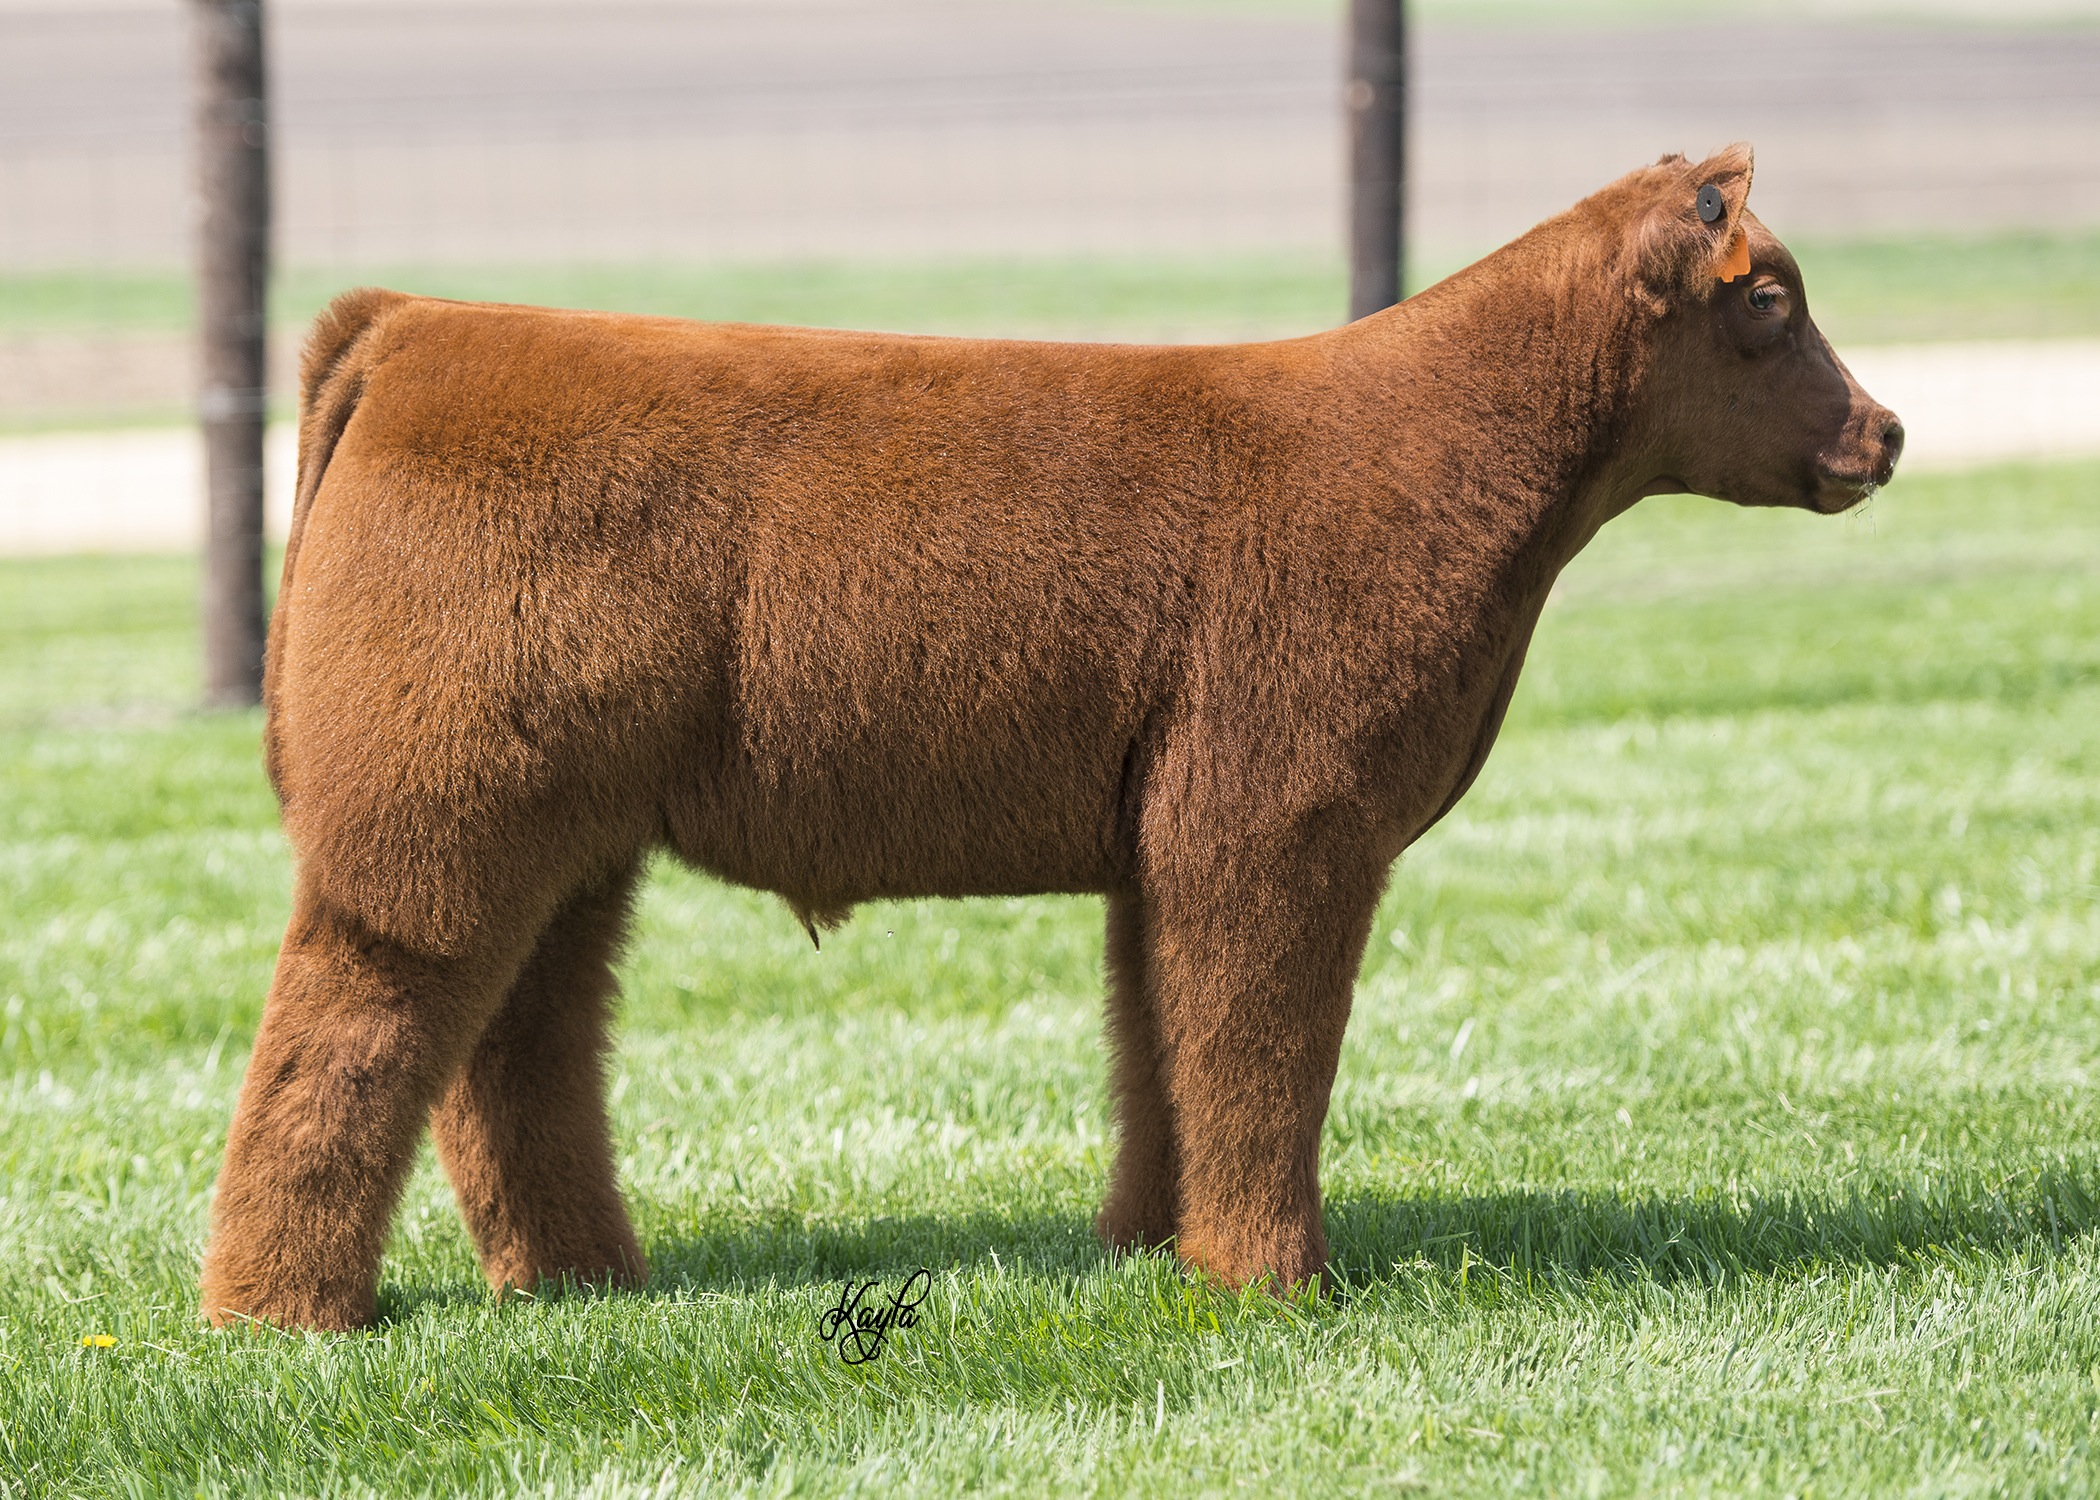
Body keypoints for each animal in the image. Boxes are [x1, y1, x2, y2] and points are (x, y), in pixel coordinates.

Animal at [198, 145, 1902, 1330]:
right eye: (1768, 302)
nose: (1886, 434)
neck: (1442, 466)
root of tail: (412, 323)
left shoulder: (1173, 842)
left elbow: (1165, 1046)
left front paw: (1159, 1252)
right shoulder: (1278, 823)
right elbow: (1263, 1048)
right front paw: (1276, 1285)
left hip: (565, 839)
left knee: (519, 1047)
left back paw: (578, 1283)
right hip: (438, 826)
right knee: (349, 1033)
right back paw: (284, 1319)